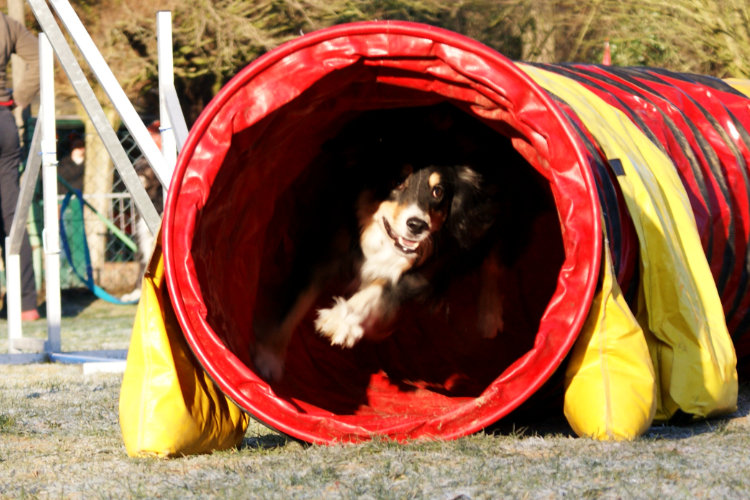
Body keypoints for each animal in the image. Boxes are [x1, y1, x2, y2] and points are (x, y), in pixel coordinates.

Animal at [253, 162, 506, 380]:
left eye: (438, 191)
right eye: (397, 180)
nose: (418, 225)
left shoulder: (419, 270)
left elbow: (378, 289)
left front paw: (341, 320)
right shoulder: (329, 250)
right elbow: (297, 303)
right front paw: (270, 355)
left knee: (493, 257)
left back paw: (489, 315)